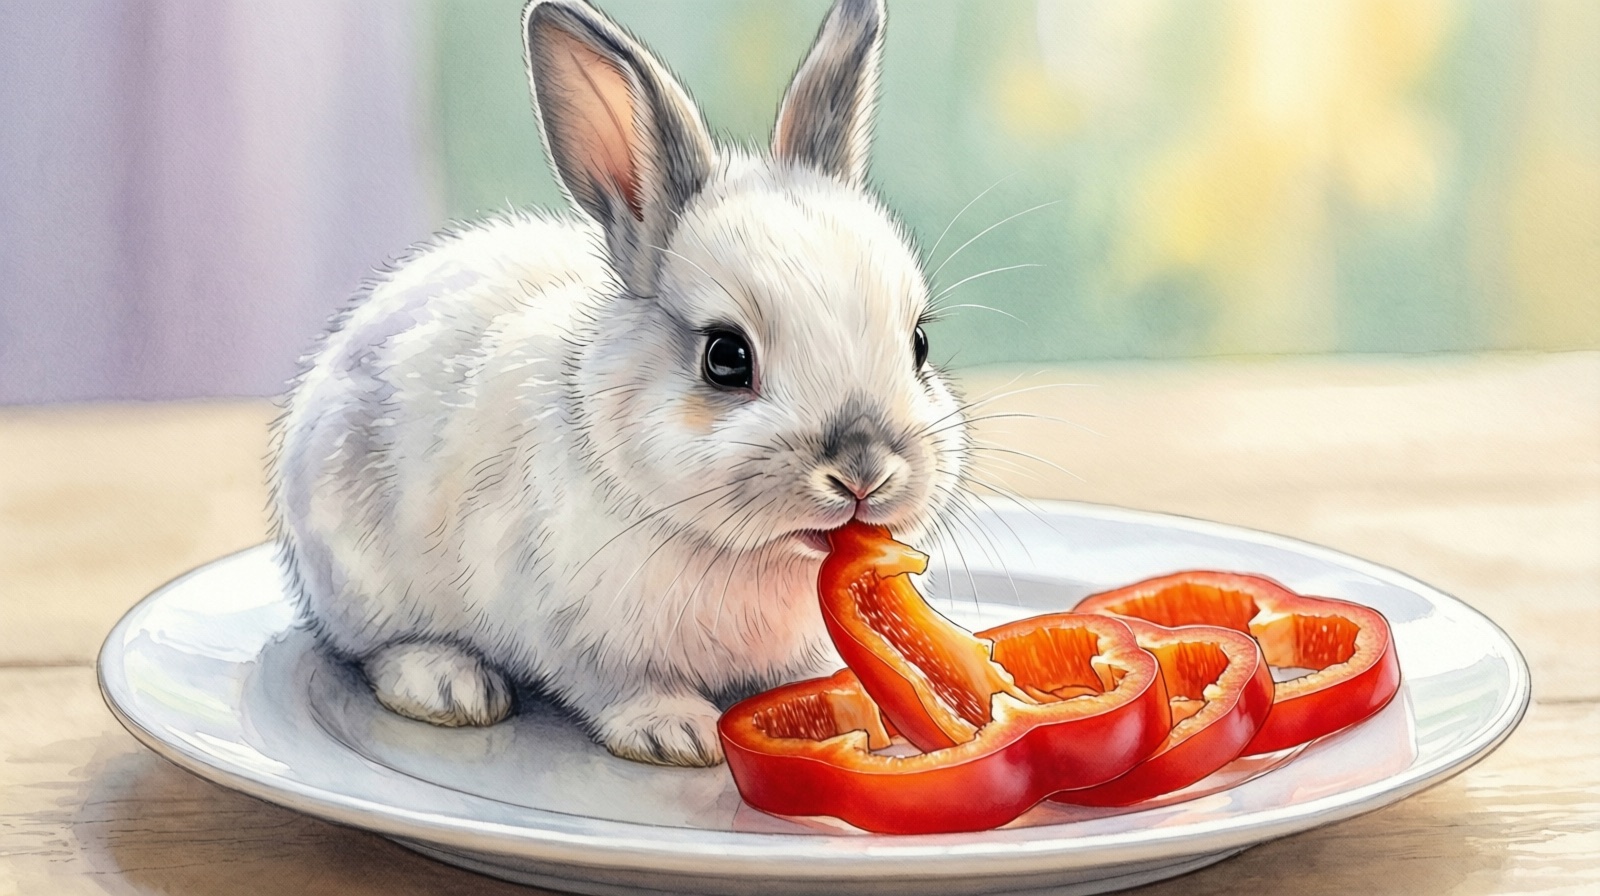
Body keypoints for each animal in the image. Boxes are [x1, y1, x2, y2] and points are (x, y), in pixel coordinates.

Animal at [270, 0, 969, 768]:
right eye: (726, 357)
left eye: (919, 344)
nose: (865, 470)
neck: (734, 548)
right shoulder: (576, 632)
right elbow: (620, 686)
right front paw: (677, 733)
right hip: (357, 572)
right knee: (373, 648)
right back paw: (449, 685)